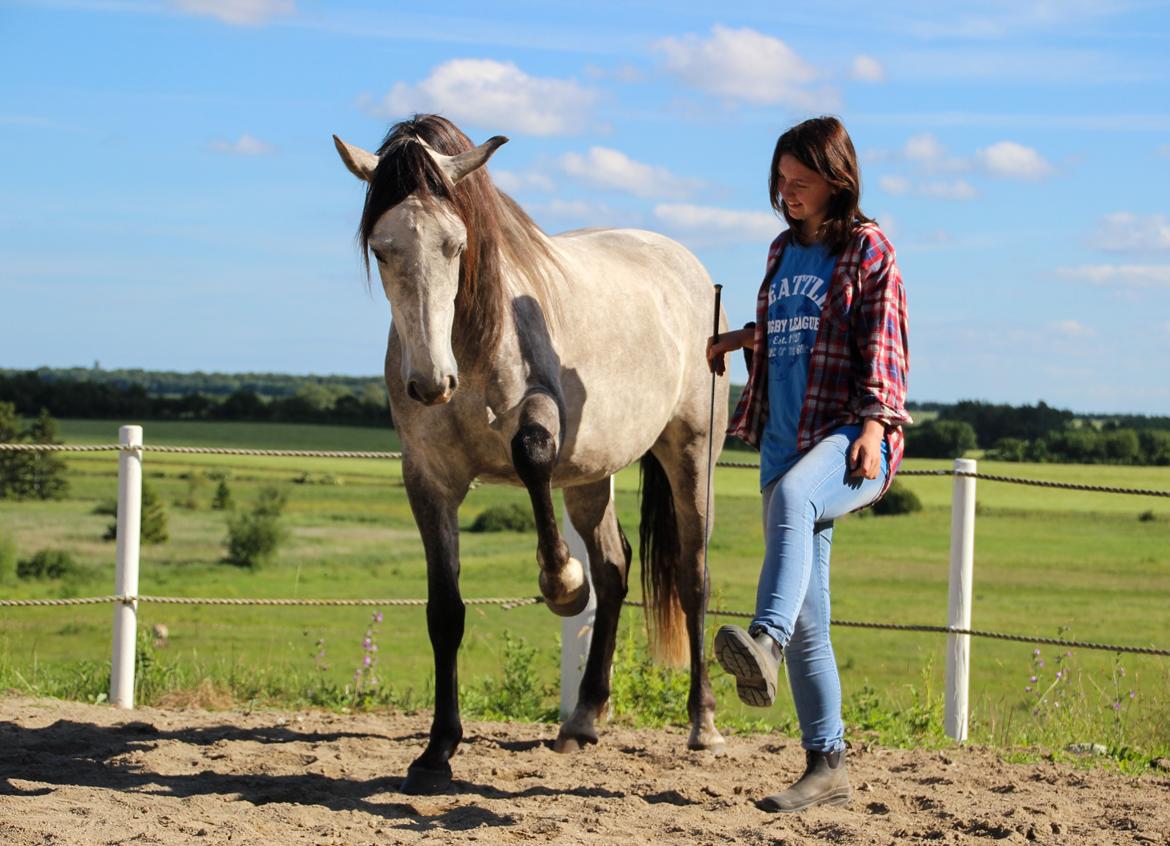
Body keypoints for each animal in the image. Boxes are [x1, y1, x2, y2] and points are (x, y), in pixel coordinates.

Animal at [334, 114, 725, 795]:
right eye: (382, 249)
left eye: (455, 245)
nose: (431, 383)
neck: (469, 346)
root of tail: (688, 267)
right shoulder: (428, 479)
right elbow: (445, 614)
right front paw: (436, 751)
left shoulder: (542, 413)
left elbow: (530, 450)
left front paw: (560, 582)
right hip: (592, 474)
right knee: (615, 569)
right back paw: (583, 720)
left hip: (692, 454)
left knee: (692, 575)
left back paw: (701, 724)